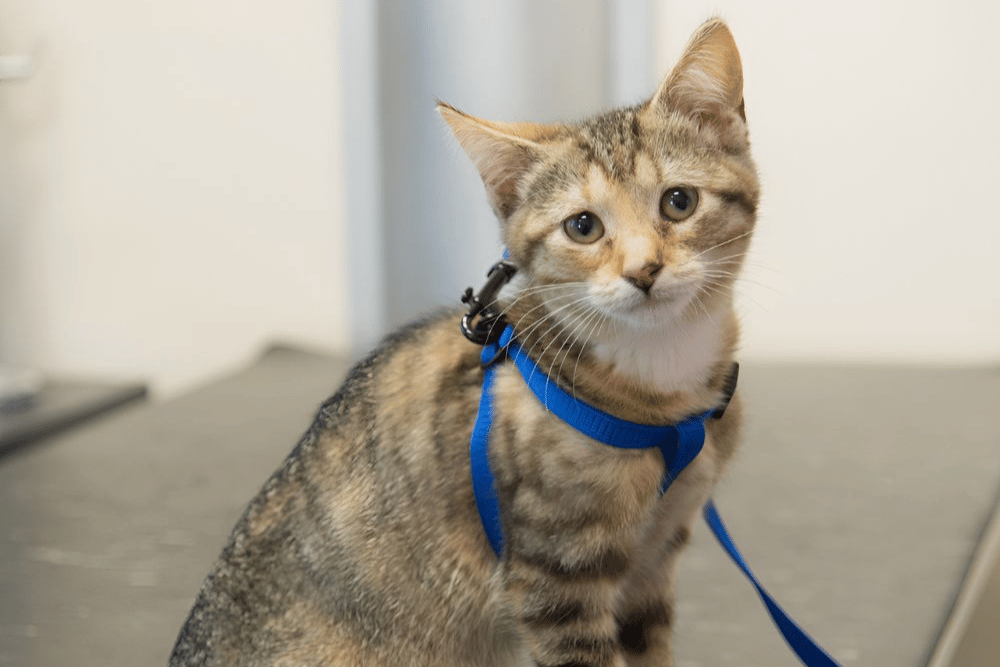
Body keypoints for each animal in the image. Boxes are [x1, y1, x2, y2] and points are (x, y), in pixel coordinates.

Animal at [168, 18, 756, 664]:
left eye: (679, 201)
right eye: (583, 226)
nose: (643, 270)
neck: (665, 389)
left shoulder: (652, 563)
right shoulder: (554, 579)